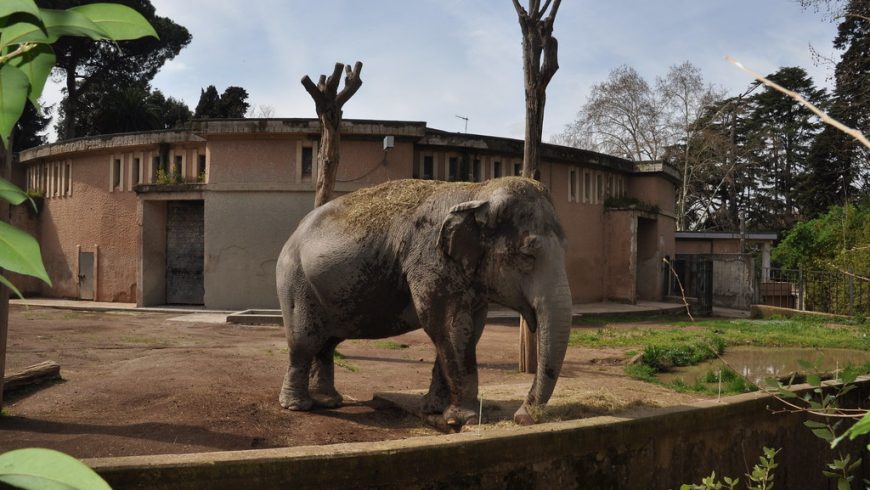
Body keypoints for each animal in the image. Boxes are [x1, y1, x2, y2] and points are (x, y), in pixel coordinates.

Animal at [276, 174, 576, 426]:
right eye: (527, 255)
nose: (522, 417)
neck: (478, 191)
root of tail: (293, 232)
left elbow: (471, 331)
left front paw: (433, 409)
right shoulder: (430, 262)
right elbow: (449, 328)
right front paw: (463, 420)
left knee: (326, 344)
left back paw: (329, 401)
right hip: (296, 283)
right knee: (304, 342)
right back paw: (297, 406)